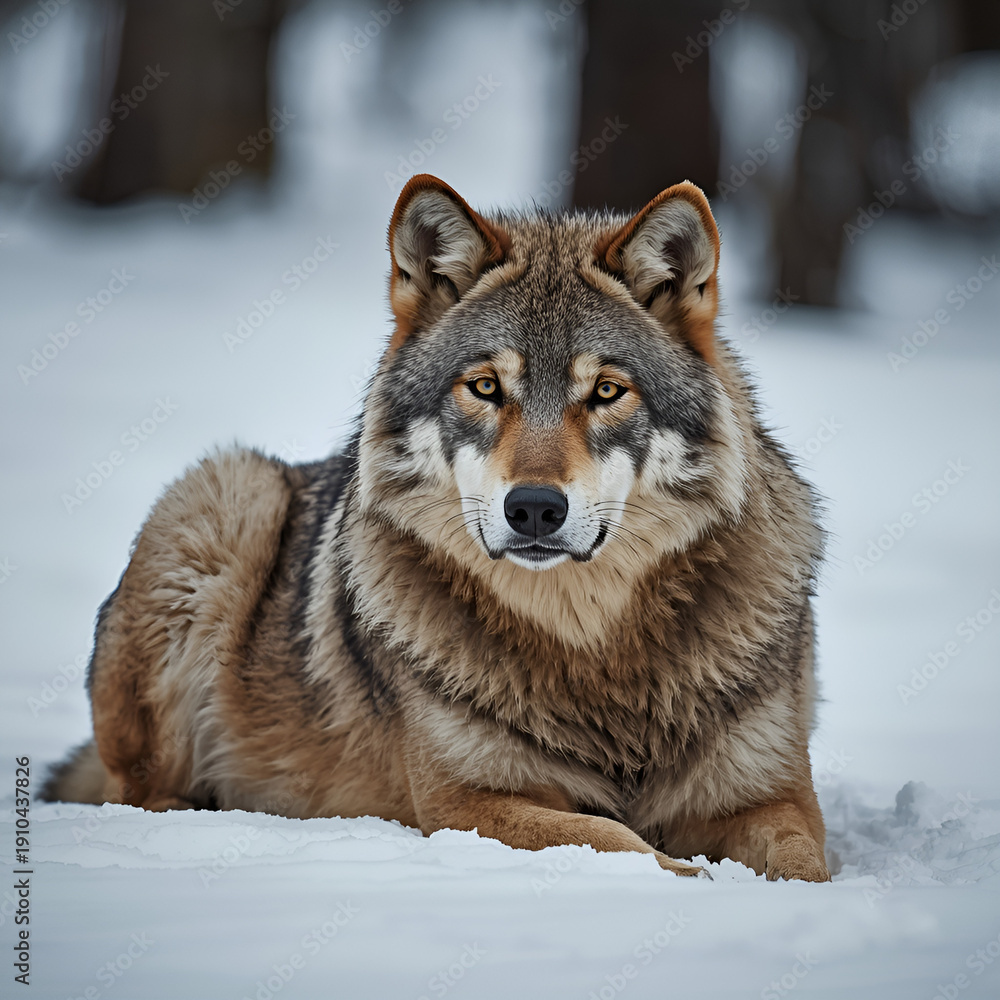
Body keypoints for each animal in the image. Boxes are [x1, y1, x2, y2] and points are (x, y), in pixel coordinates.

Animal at [42, 174, 831, 881]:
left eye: (607, 391)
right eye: (485, 387)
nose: (534, 508)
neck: (591, 657)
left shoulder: (775, 797)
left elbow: (804, 866)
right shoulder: (467, 802)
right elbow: (621, 842)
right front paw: (690, 878)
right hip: (229, 493)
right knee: (136, 794)